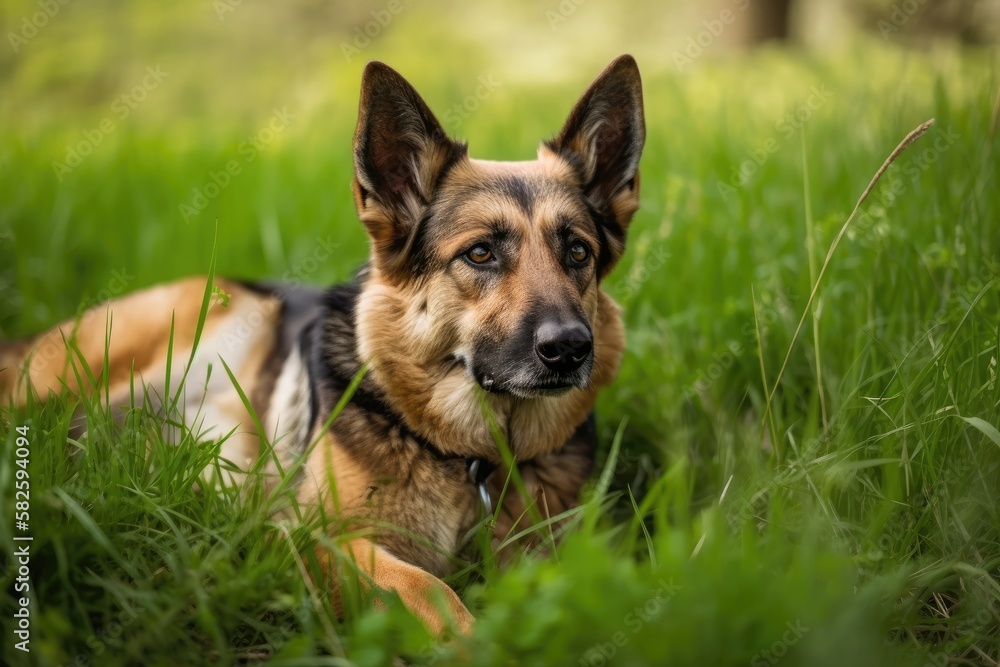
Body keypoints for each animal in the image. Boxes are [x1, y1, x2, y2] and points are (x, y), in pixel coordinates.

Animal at [0, 54, 648, 636]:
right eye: (480, 253)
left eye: (578, 252)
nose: (569, 348)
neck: (473, 460)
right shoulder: (317, 539)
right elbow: (428, 590)